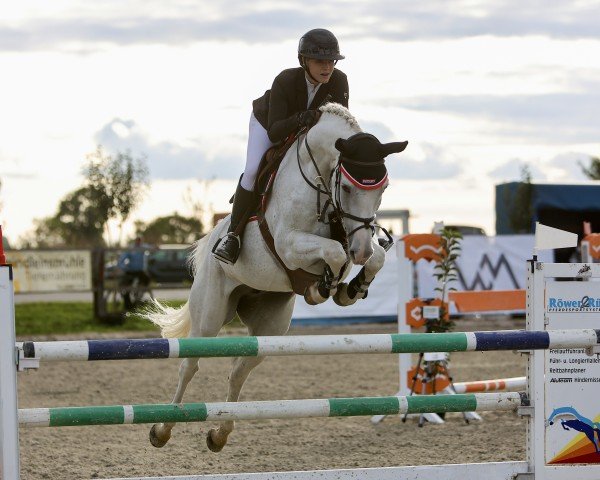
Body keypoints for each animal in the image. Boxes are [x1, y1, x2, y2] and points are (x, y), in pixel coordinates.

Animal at [145, 103, 408, 452]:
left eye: (383, 188)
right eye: (348, 187)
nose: (361, 251)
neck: (319, 183)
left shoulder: (351, 239)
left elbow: (371, 257)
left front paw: (349, 289)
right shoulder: (289, 244)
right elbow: (334, 253)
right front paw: (323, 287)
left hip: (270, 328)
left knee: (238, 370)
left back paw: (219, 434)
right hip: (209, 315)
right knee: (189, 365)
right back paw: (162, 429)